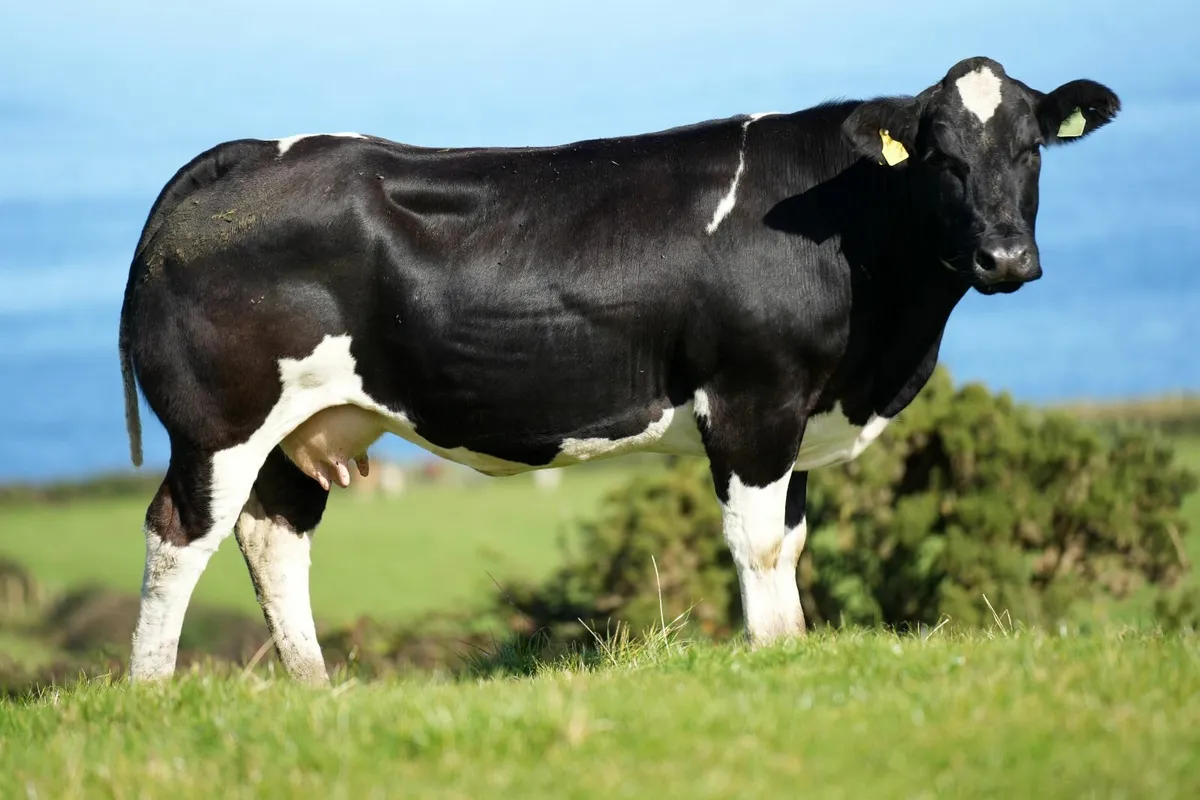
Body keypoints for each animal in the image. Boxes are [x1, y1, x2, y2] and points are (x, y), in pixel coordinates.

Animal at [118, 57, 1119, 684]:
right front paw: (771, 663)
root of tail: (250, 154)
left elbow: (791, 544)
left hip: (305, 426)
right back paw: (151, 693)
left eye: (1030, 148)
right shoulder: (754, 399)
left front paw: (792, 651)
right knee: (180, 535)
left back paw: (317, 692)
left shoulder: (798, 414)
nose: (1005, 257)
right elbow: (759, 545)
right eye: (942, 156)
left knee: (273, 538)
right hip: (220, 421)